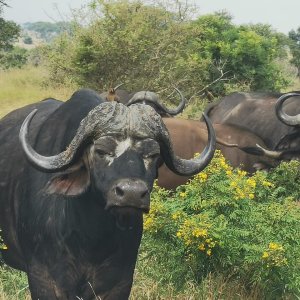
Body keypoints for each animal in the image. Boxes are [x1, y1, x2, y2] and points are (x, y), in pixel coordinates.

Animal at [0, 88, 216, 298]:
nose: (131, 193)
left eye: (153, 154)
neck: (90, 236)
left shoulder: (120, 280)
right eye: (102, 151)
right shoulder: (44, 279)